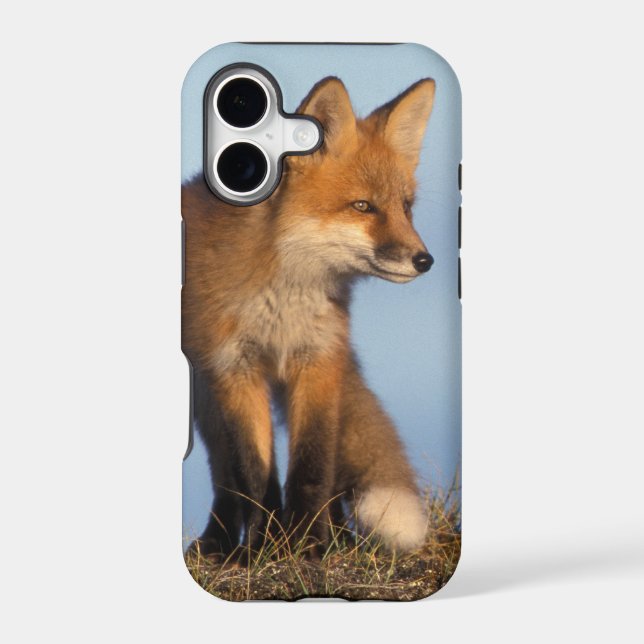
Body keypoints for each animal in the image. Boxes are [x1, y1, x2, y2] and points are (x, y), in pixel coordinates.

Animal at [182, 76, 436, 559]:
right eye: (363, 207)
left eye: (406, 207)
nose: (425, 261)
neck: (283, 299)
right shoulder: (234, 368)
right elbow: (254, 473)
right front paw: (265, 551)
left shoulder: (319, 358)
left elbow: (313, 465)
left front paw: (311, 544)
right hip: (203, 397)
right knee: (225, 477)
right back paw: (221, 543)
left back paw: (337, 537)